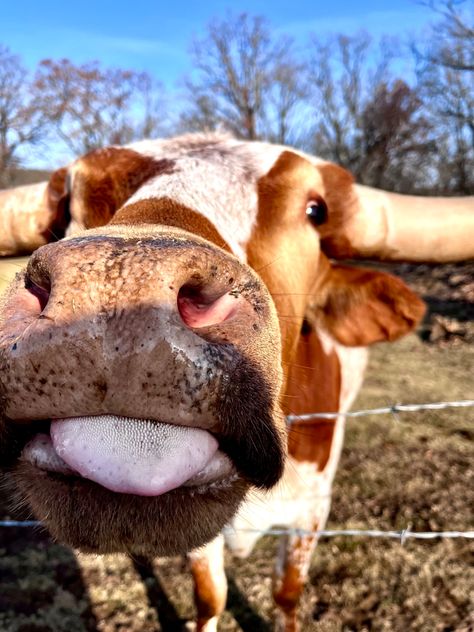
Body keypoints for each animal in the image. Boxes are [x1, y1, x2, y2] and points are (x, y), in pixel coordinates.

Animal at [0, 131, 472, 628]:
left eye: (315, 209)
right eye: (72, 200)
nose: (122, 286)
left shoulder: (313, 510)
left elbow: (287, 592)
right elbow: (211, 594)